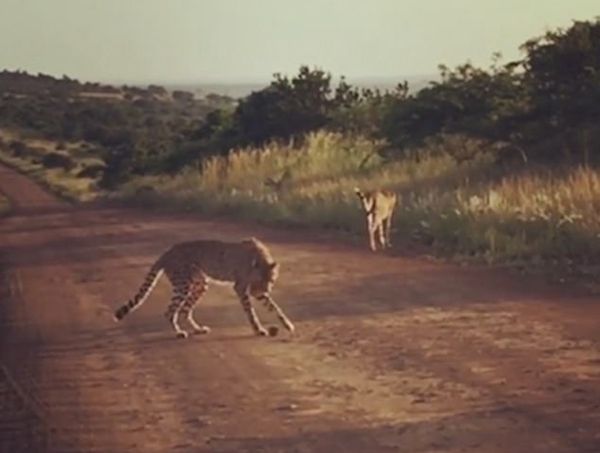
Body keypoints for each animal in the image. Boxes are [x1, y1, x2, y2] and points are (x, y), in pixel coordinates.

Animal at [113, 238, 294, 338]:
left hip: (200, 284)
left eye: (271, 281)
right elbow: (251, 312)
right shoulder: (241, 287)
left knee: (184, 310)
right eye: (259, 280)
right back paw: (179, 333)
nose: (262, 291)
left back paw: (198, 329)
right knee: (170, 311)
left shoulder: (253, 290)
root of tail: (168, 251)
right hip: (183, 285)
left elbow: (274, 307)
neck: (258, 258)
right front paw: (258, 330)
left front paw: (287, 325)